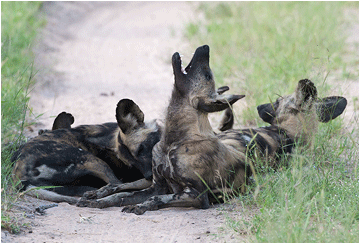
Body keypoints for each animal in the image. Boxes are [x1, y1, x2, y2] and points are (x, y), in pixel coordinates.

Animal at [77, 45, 348, 214]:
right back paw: (99, 192)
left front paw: (142, 207)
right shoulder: (158, 184)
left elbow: (157, 198)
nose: (205, 47)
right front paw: (107, 200)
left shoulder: (195, 195)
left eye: (207, 73)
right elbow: (124, 195)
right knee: (127, 185)